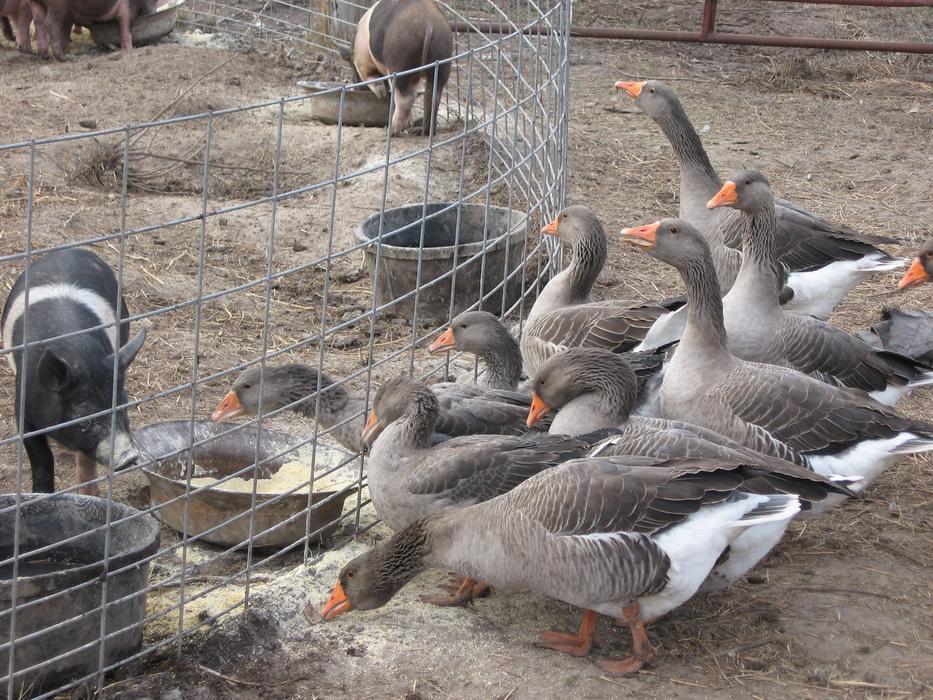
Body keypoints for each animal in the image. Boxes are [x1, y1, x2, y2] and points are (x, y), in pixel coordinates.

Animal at [1, 248, 146, 495]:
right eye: (84, 422)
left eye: (124, 409)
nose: (129, 457)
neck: (78, 354)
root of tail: (70, 250)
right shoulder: (23, 408)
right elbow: (41, 457)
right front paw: (42, 495)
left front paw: (90, 495)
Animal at [29, 0, 157, 60]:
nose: (152, 12)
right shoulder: (127, 10)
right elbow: (125, 30)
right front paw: (127, 52)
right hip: (57, 6)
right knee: (51, 24)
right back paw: (66, 58)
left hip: (36, 4)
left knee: (39, 22)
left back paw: (46, 55)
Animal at [349, 0, 453, 136]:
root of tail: (428, 24)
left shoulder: (363, 58)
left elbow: (369, 75)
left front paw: (381, 94)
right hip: (442, 55)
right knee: (433, 95)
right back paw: (424, 132)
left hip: (401, 58)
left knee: (405, 98)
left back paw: (391, 131)